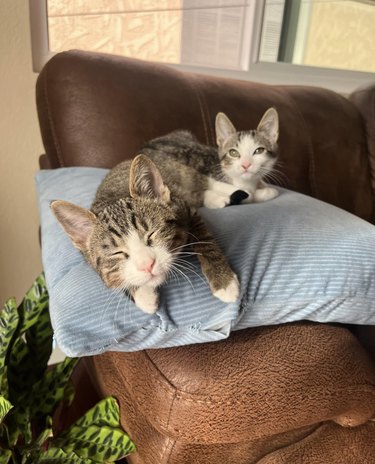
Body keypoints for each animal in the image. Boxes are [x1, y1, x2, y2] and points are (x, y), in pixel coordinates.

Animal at [50, 156, 241, 316]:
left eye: (152, 233)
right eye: (117, 253)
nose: (147, 265)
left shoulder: (185, 209)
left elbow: (205, 241)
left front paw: (224, 281)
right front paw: (143, 295)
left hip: (180, 174)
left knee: (205, 181)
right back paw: (216, 199)